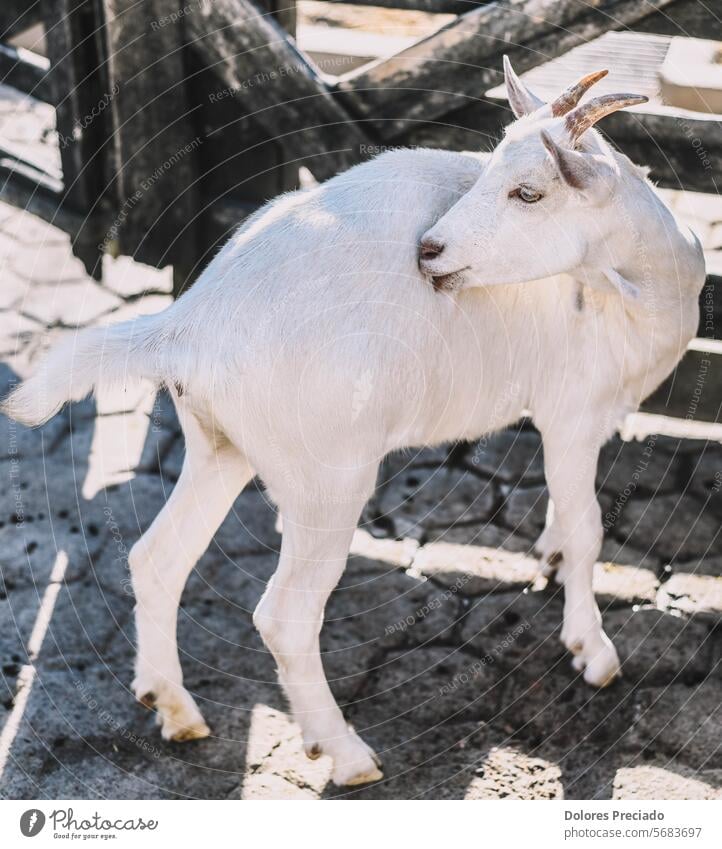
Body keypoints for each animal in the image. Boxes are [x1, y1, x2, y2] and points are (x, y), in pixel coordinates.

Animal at [2, 59, 704, 784]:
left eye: (528, 192)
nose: (430, 250)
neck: (640, 282)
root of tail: (189, 322)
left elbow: (567, 517)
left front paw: (553, 556)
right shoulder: (571, 411)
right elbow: (591, 527)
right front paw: (592, 649)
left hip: (220, 444)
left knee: (156, 559)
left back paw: (173, 707)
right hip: (325, 478)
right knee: (285, 614)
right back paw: (343, 752)